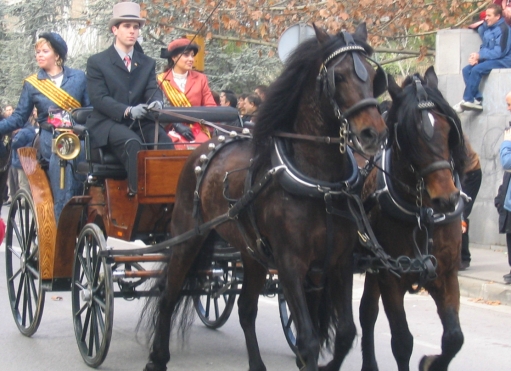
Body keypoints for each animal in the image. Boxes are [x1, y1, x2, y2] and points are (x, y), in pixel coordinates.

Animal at [143, 24, 388, 371]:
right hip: (187, 238)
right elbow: (309, 340)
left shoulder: (339, 261)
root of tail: (205, 148)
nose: (373, 133)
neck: (321, 184)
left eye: (371, 75)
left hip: (251, 253)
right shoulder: (289, 263)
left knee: (246, 308)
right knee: (168, 295)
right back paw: (157, 357)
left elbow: (344, 333)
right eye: (338, 76)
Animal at [360, 67, 468, 371]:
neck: (423, 214)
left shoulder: (446, 273)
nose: (447, 198)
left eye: (448, 129)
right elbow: (402, 340)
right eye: (410, 133)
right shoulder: (390, 276)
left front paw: (431, 362)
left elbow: (454, 338)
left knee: (366, 311)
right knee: (366, 313)